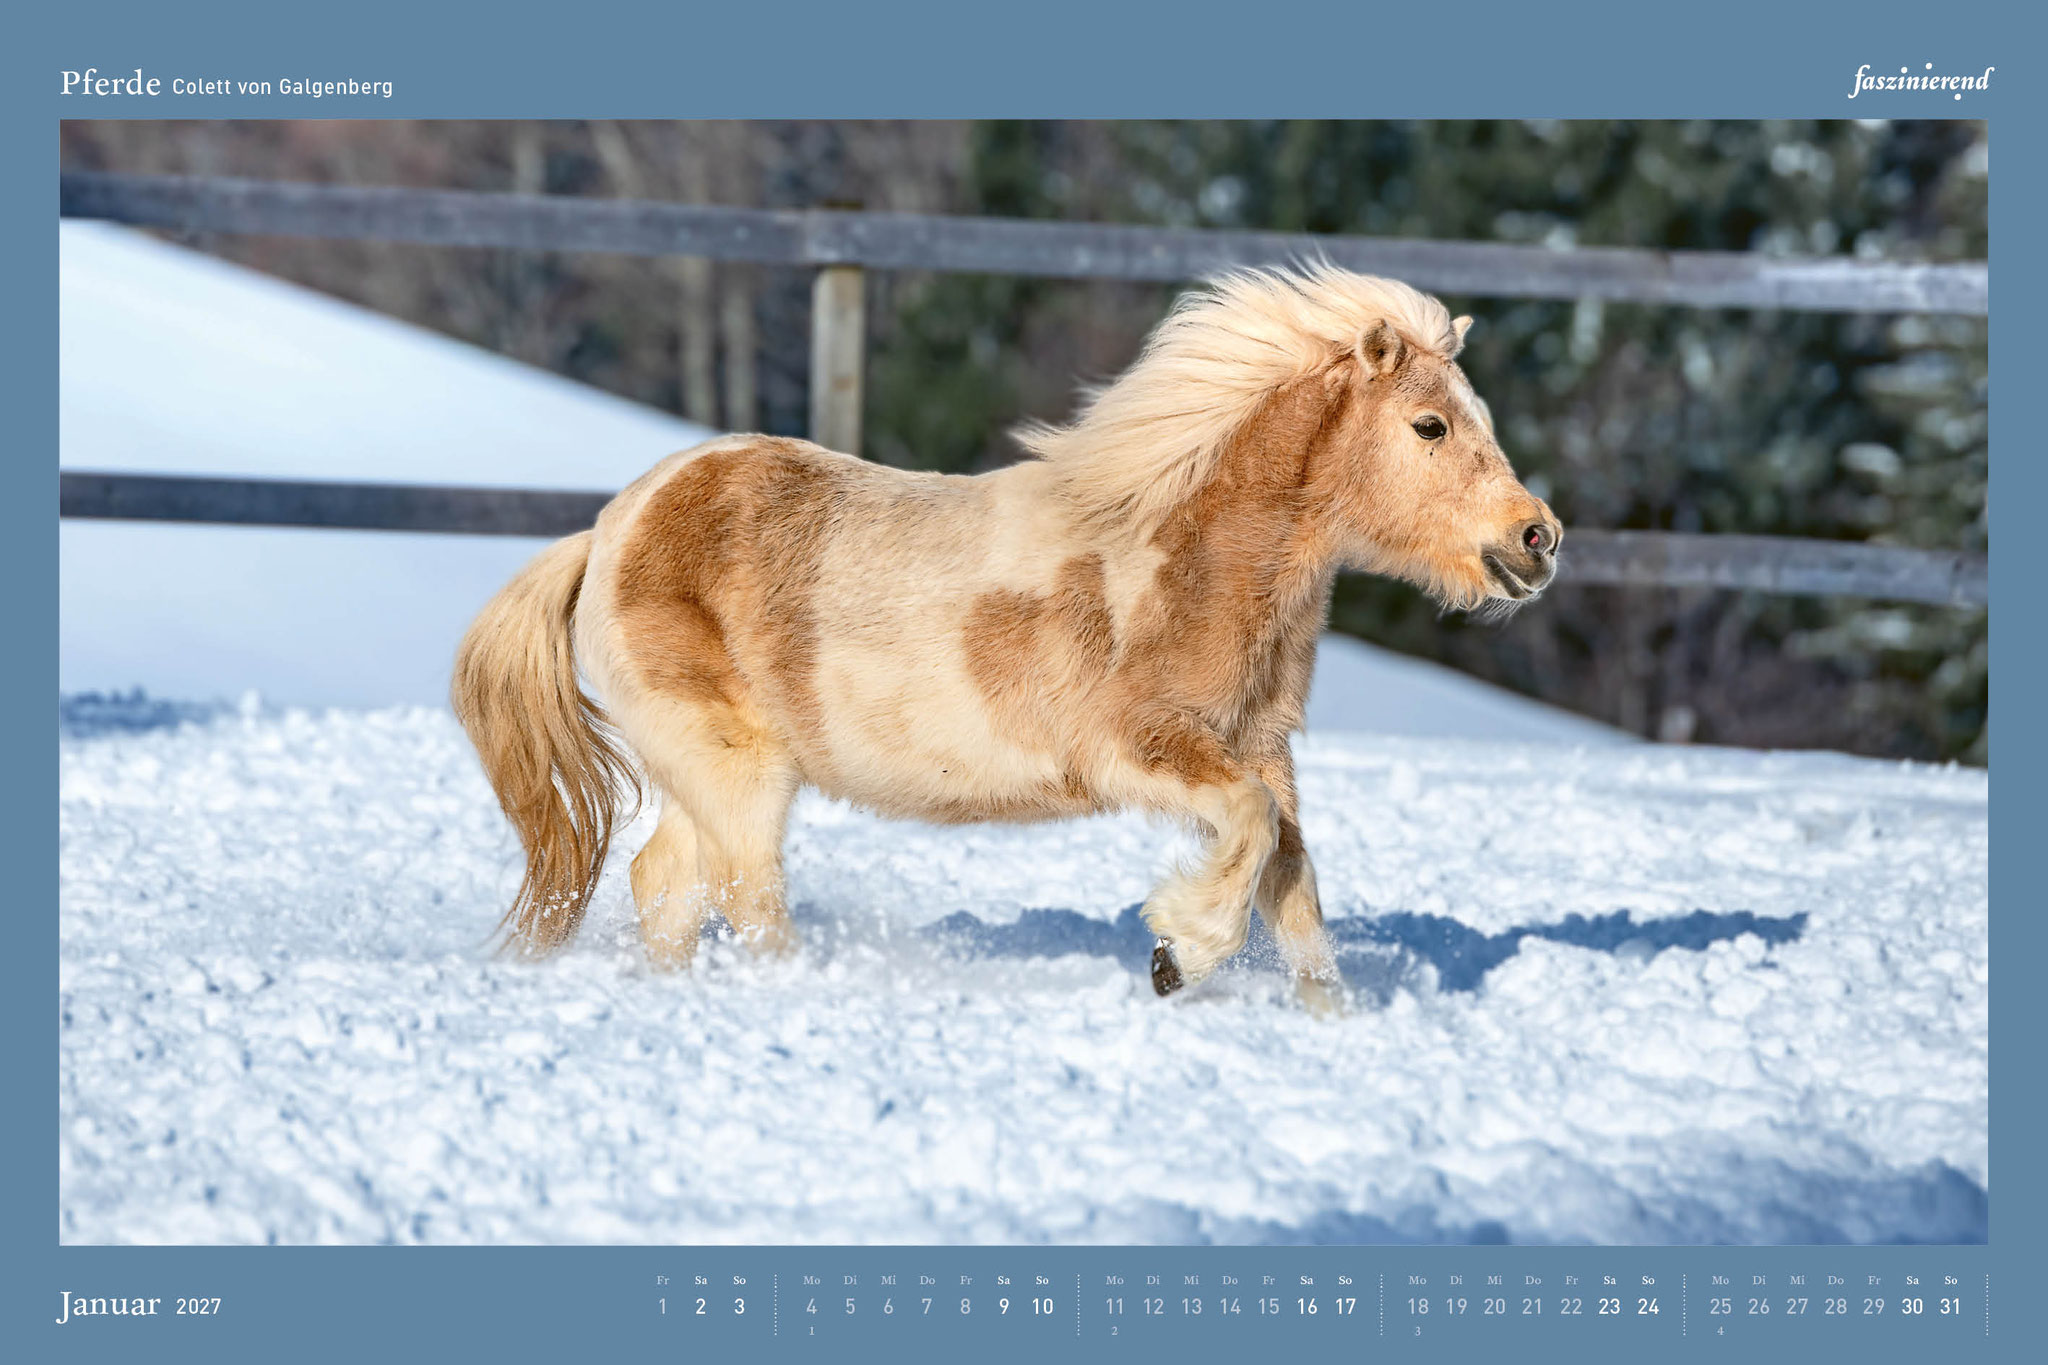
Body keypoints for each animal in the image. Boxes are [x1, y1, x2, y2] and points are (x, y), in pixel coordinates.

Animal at [451, 264, 1560, 1013]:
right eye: (1428, 426)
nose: (1537, 539)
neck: (1182, 555)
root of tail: (610, 529)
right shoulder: (1138, 752)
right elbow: (1246, 841)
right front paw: (1175, 958)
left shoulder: (1262, 748)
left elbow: (1295, 895)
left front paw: (1325, 1021)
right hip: (735, 769)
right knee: (745, 894)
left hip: (706, 772)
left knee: (666, 887)